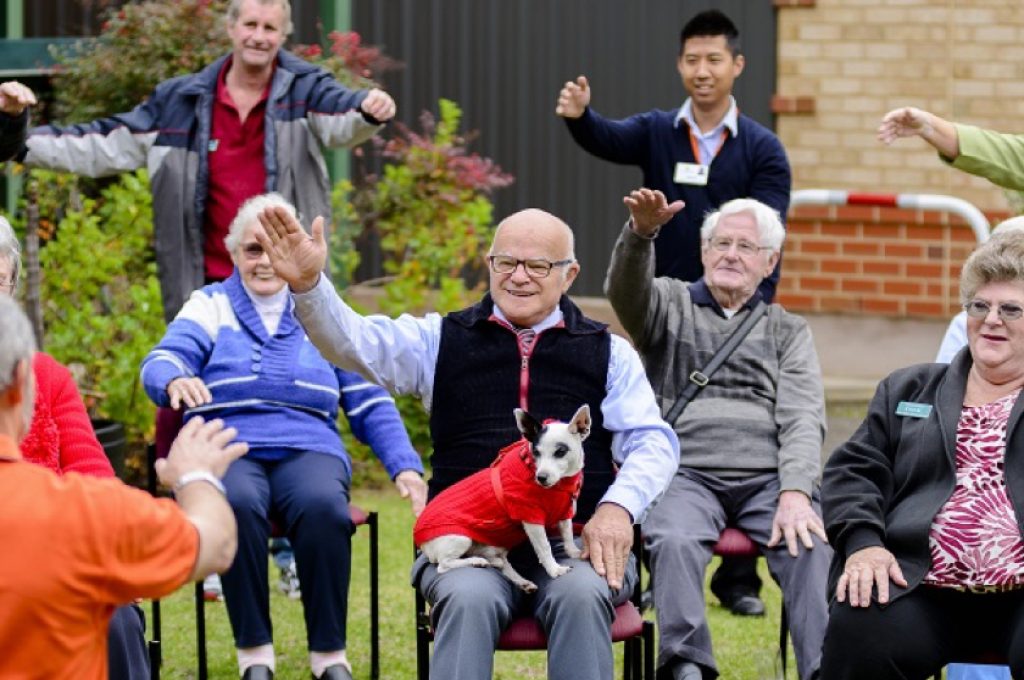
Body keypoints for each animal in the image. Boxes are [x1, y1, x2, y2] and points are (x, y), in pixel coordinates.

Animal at [413, 403, 593, 589]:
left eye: (560, 452)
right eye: (536, 453)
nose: (541, 477)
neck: (559, 486)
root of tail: (421, 544)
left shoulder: (564, 513)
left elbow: (567, 533)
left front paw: (573, 552)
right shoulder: (531, 519)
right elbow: (544, 548)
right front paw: (555, 570)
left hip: (492, 547)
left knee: (501, 563)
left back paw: (519, 580)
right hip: (460, 539)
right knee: (443, 564)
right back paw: (477, 561)